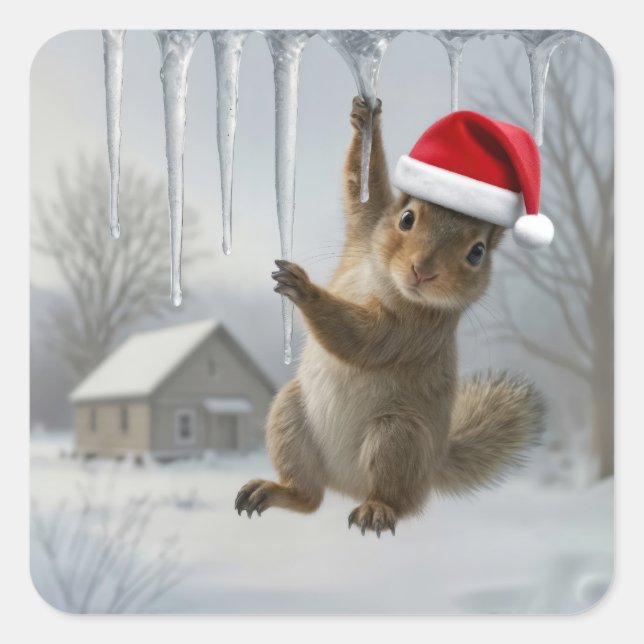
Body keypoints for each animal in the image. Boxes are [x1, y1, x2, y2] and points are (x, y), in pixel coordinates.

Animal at [235, 97, 545, 537]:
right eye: (406, 218)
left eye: (477, 253)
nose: (423, 270)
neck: (387, 279)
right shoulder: (366, 226)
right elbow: (362, 190)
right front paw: (366, 119)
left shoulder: (414, 331)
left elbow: (363, 338)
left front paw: (305, 291)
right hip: (289, 415)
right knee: (309, 499)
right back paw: (275, 491)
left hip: (398, 438)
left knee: (398, 499)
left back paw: (376, 510)